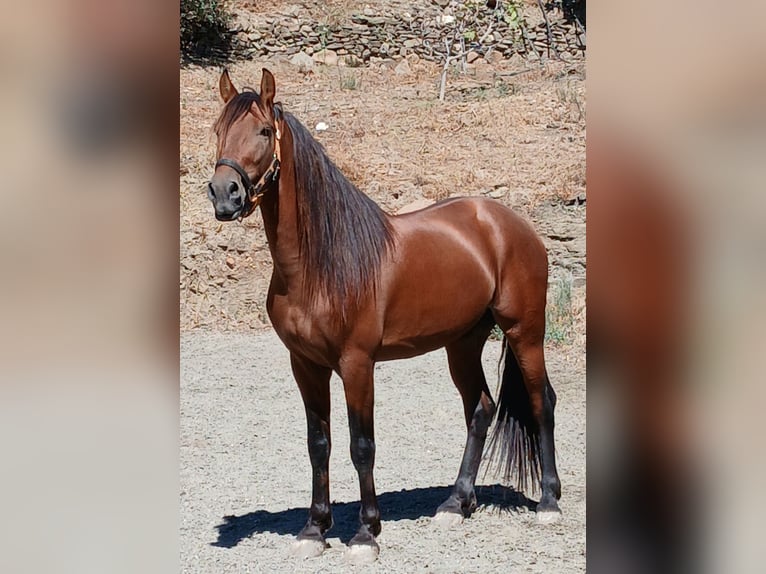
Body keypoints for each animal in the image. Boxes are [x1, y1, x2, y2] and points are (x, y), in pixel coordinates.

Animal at [206, 68, 561, 562]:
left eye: (262, 131)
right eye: (218, 130)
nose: (224, 194)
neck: (320, 264)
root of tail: (511, 223)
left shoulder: (357, 364)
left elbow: (362, 445)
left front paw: (365, 533)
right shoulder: (306, 365)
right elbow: (319, 444)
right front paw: (314, 529)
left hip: (525, 332)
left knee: (540, 401)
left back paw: (548, 502)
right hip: (463, 343)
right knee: (480, 409)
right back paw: (456, 503)